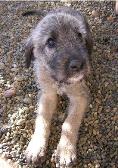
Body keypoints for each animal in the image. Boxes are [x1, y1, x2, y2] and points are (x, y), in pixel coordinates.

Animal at [23, 7, 92, 167]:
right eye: (50, 42)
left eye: (79, 35)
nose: (79, 65)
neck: (60, 81)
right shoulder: (47, 94)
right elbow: (42, 120)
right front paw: (36, 146)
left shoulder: (80, 96)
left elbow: (69, 123)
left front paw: (65, 150)